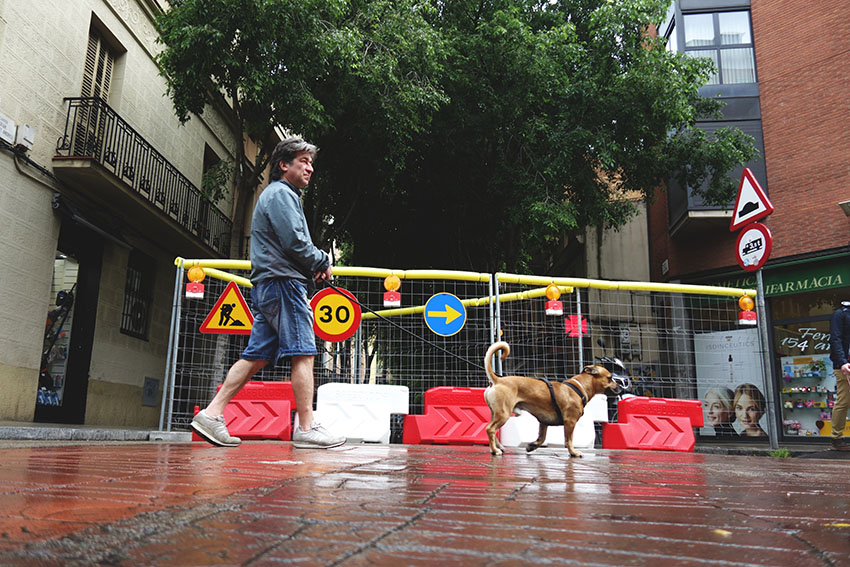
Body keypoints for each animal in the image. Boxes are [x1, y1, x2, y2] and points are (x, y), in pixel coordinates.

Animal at [484, 342, 616, 458]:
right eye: (610, 378)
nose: (619, 386)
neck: (579, 387)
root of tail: (498, 380)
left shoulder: (544, 422)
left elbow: (542, 439)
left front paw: (532, 446)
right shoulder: (570, 422)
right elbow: (569, 440)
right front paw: (573, 452)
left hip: (496, 414)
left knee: (492, 430)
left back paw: (498, 447)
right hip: (503, 414)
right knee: (490, 429)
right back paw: (495, 450)